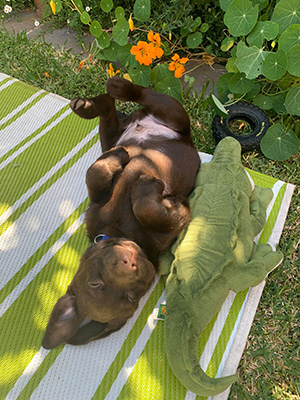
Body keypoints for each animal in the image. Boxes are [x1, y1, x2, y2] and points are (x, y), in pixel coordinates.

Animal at [41, 76, 200, 348]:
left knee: (142, 97)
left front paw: (143, 182)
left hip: (173, 115)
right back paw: (91, 105)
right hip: (128, 129)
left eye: (130, 296)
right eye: (96, 283)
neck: (121, 230)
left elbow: (139, 203)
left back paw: (115, 89)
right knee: (110, 114)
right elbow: (99, 175)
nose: (131, 262)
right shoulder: (98, 203)